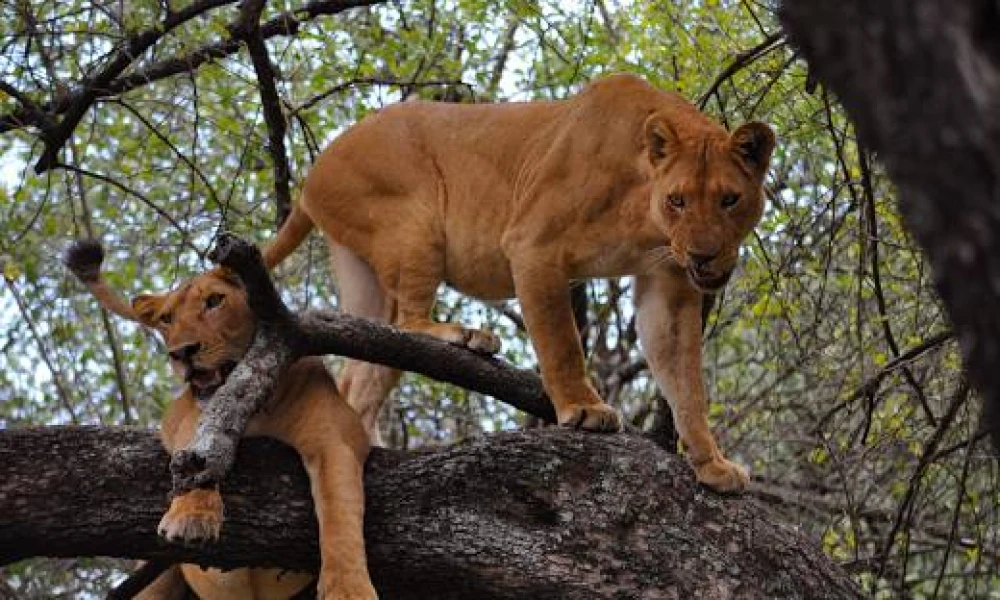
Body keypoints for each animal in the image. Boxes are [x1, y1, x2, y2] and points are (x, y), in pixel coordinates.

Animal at [64, 241, 377, 600]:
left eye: (215, 301)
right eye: (167, 319)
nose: (181, 353)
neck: (257, 408)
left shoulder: (335, 439)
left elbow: (339, 513)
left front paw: (349, 589)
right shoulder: (183, 418)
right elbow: (197, 457)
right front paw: (192, 517)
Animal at [263, 73, 775, 493]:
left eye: (730, 200)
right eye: (678, 200)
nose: (703, 255)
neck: (645, 214)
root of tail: (312, 174)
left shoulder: (667, 284)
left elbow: (686, 383)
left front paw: (712, 464)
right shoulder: (533, 244)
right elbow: (561, 343)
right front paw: (583, 409)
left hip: (368, 276)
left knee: (365, 367)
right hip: (414, 219)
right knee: (408, 321)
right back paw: (465, 335)